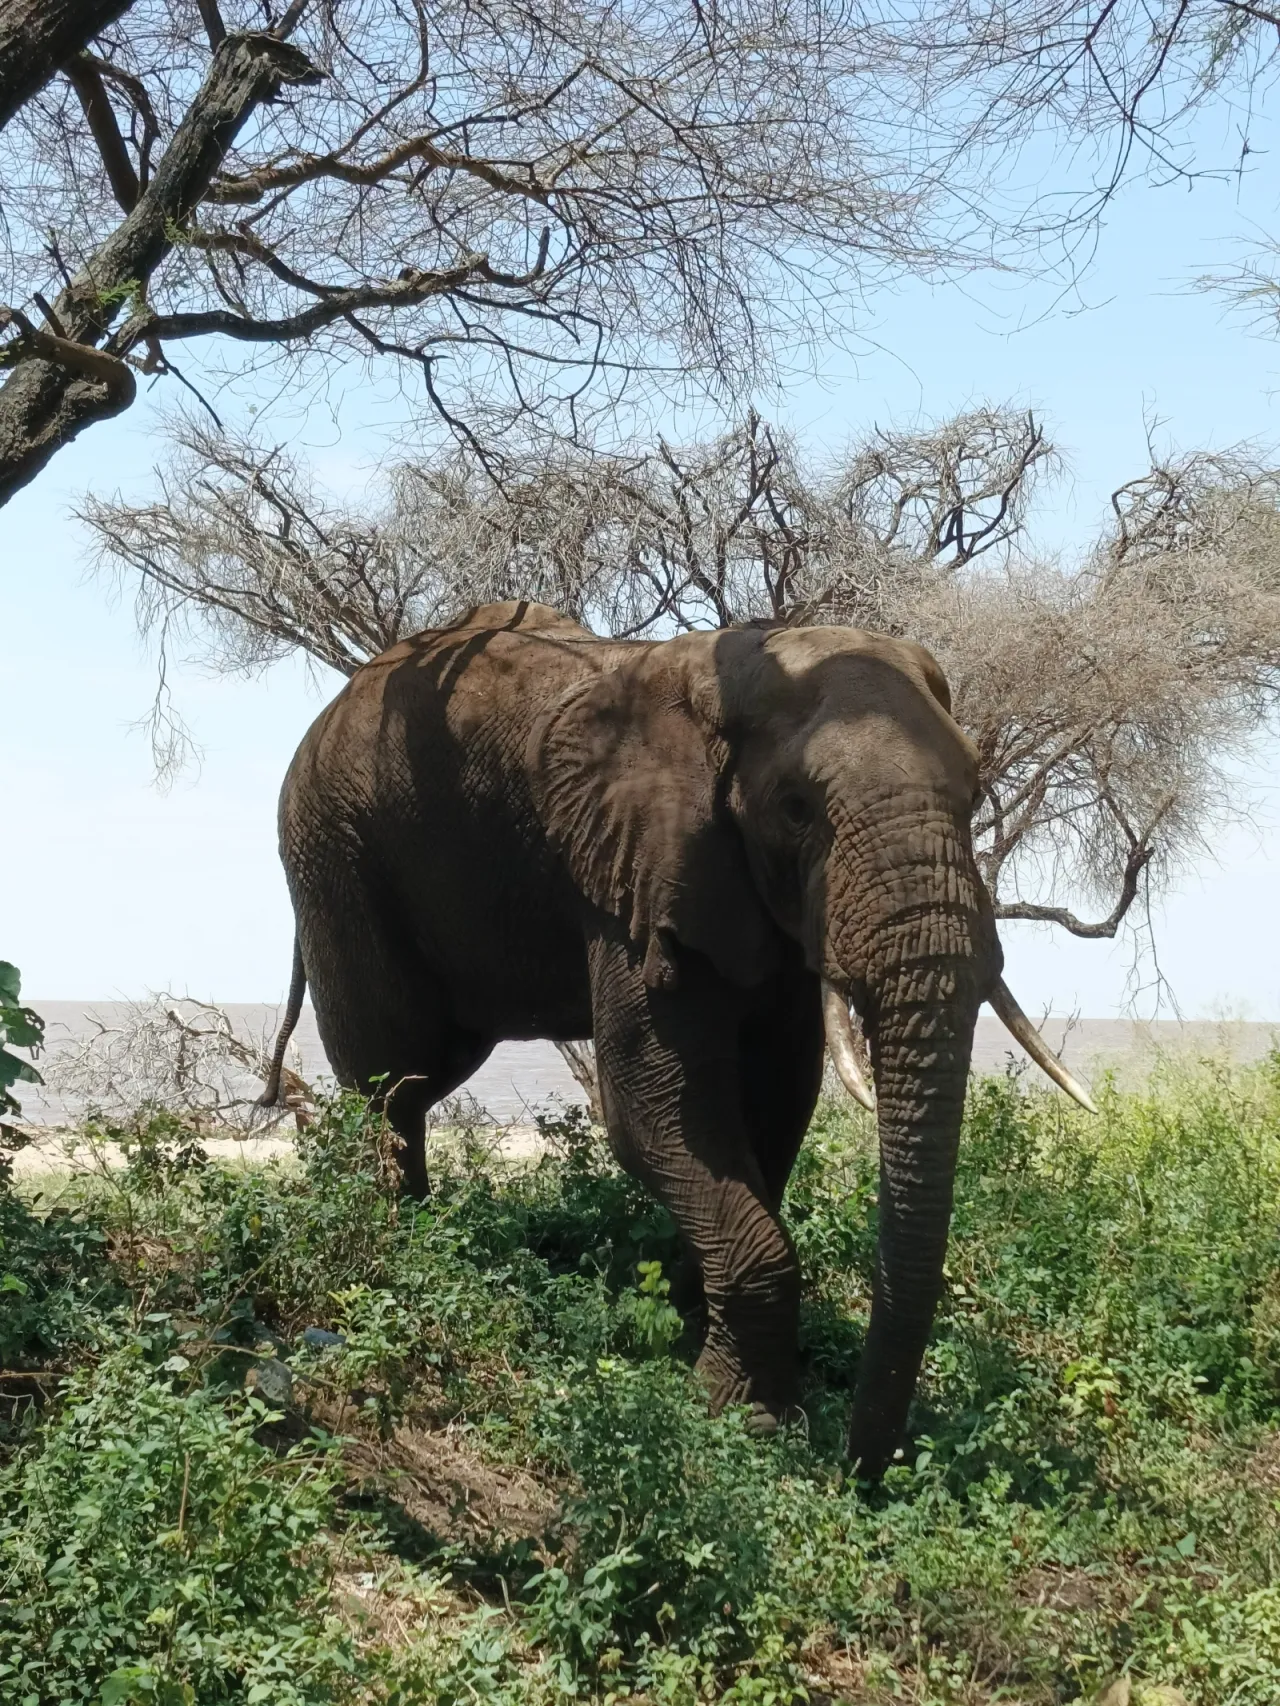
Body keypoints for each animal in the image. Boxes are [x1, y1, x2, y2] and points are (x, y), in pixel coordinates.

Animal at [261, 599, 1094, 1476]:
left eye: (976, 793)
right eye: (795, 807)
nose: (862, 1466)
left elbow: (777, 1099)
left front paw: (701, 1331)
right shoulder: (638, 871)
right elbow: (657, 1105)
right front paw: (744, 1418)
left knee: (421, 1080)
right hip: (337, 849)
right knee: (390, 1079)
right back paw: (404, 1252)